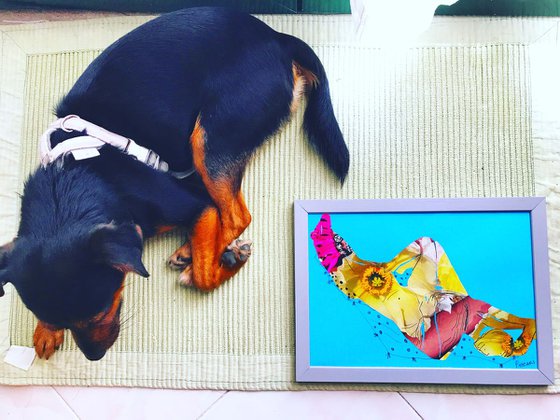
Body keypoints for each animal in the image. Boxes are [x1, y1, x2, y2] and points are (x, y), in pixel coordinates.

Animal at [0, 6, 348, 360]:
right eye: (54, 321)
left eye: (100, 312)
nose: (94, 356)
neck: (72, 176)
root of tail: (275, 37)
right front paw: (45, 333)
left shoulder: (192, 204)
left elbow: (206, 272)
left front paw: (216, 264)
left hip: (210, 137)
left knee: (238, 215)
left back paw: (199, 252)